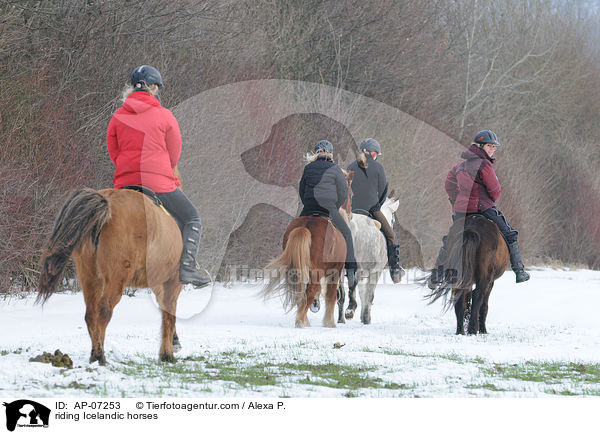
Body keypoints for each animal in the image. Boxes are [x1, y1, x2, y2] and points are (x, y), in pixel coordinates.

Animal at [37, 186, 183, 362]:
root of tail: (107, 201)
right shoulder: (172, 283)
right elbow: (169, 316)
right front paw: (167, 353)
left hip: (89, 276)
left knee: (91, 313)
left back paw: (95, 353)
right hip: (116, 278)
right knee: (104, 310)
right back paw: (100, 355)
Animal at [262, 171, 352, 328]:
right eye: (351, 193)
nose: (350, 213)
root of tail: (306, 226)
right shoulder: (335, 271)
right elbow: (331, 297)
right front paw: (329, 322)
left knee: (301, 293)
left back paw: (303, 319)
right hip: (318, 272)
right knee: (309, 292)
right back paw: (301, 321)